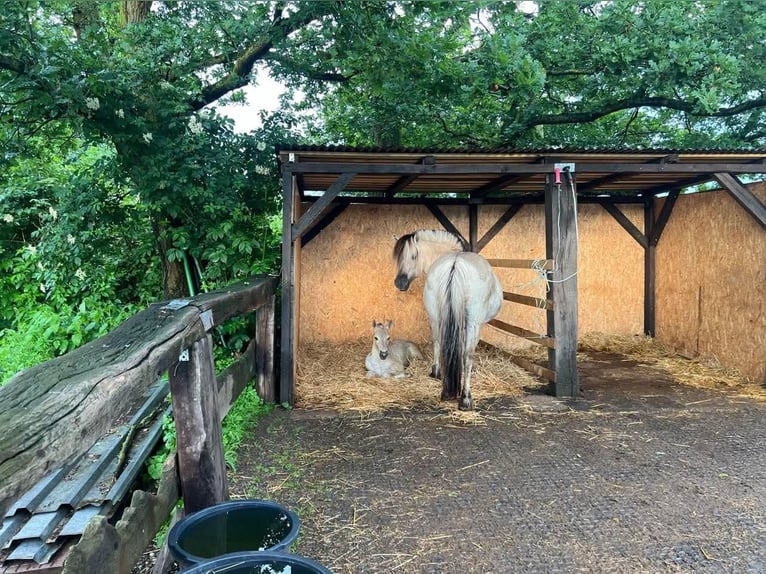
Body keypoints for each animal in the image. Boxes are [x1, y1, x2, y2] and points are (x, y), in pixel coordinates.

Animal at [396, 230, 504, 410]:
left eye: (414, 255)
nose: (399, 283)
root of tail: (455, 263)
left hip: (435, 316)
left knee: (437, 341)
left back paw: (438, 375)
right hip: (473, 324)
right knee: (467, 355)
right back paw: (465, 398)